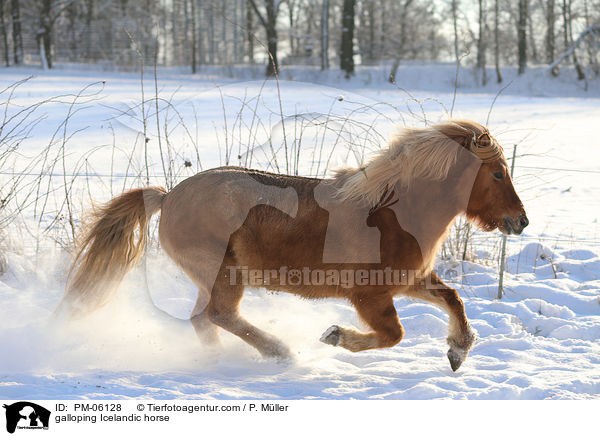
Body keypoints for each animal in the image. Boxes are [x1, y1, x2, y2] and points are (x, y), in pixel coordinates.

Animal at [59, 119, 528, 372]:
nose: (521, 221)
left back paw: (222, 361)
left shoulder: (410, 280)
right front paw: (335, 336)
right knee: (219, 315)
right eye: (498, 173)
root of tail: (168, 196)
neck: (393, 213)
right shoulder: (370, 295)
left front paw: (457, 351)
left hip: (211, 277)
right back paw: (280, 352)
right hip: (222, 273)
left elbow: (452, 298)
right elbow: (393, 334)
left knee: (202, 319)